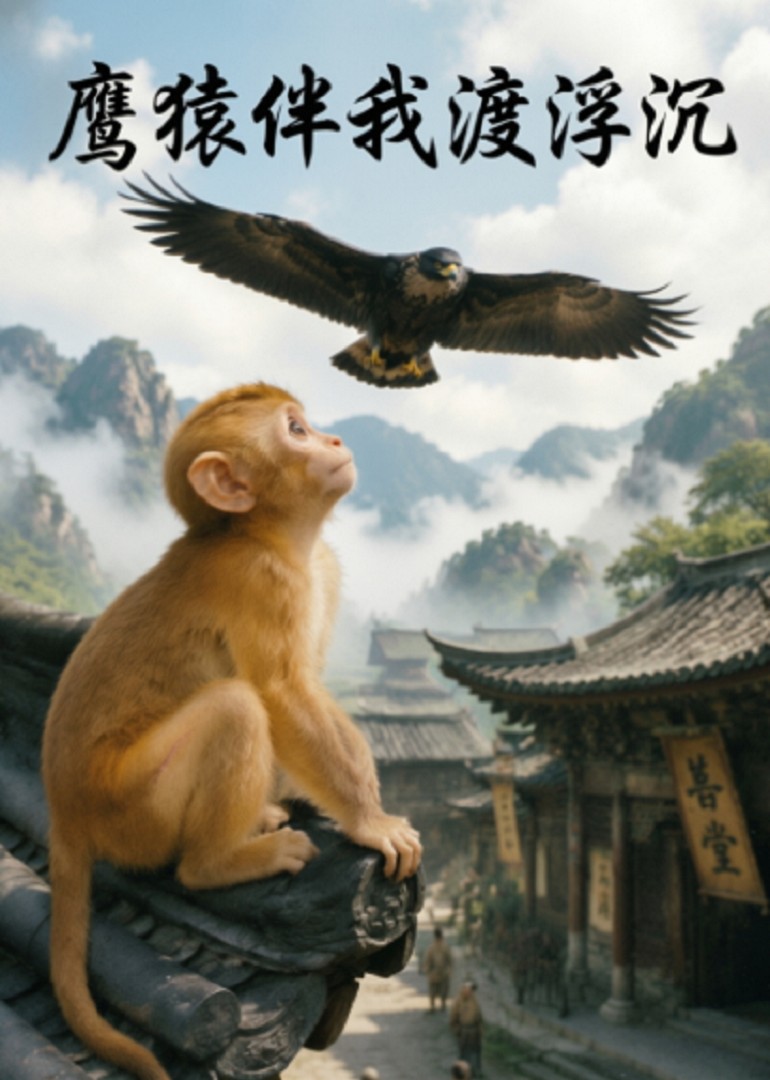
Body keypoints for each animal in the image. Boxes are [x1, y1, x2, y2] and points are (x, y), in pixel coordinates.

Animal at [42, 382, 422, 1080]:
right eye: (295, 430)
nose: (333, 440)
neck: (272, 533)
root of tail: (66, 813)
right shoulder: (263, 578)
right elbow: (282, 693)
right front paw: (370, 820)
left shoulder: (321, 569)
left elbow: (306, 687)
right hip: (131, 809)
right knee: (235, 708)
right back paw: (219, 862)